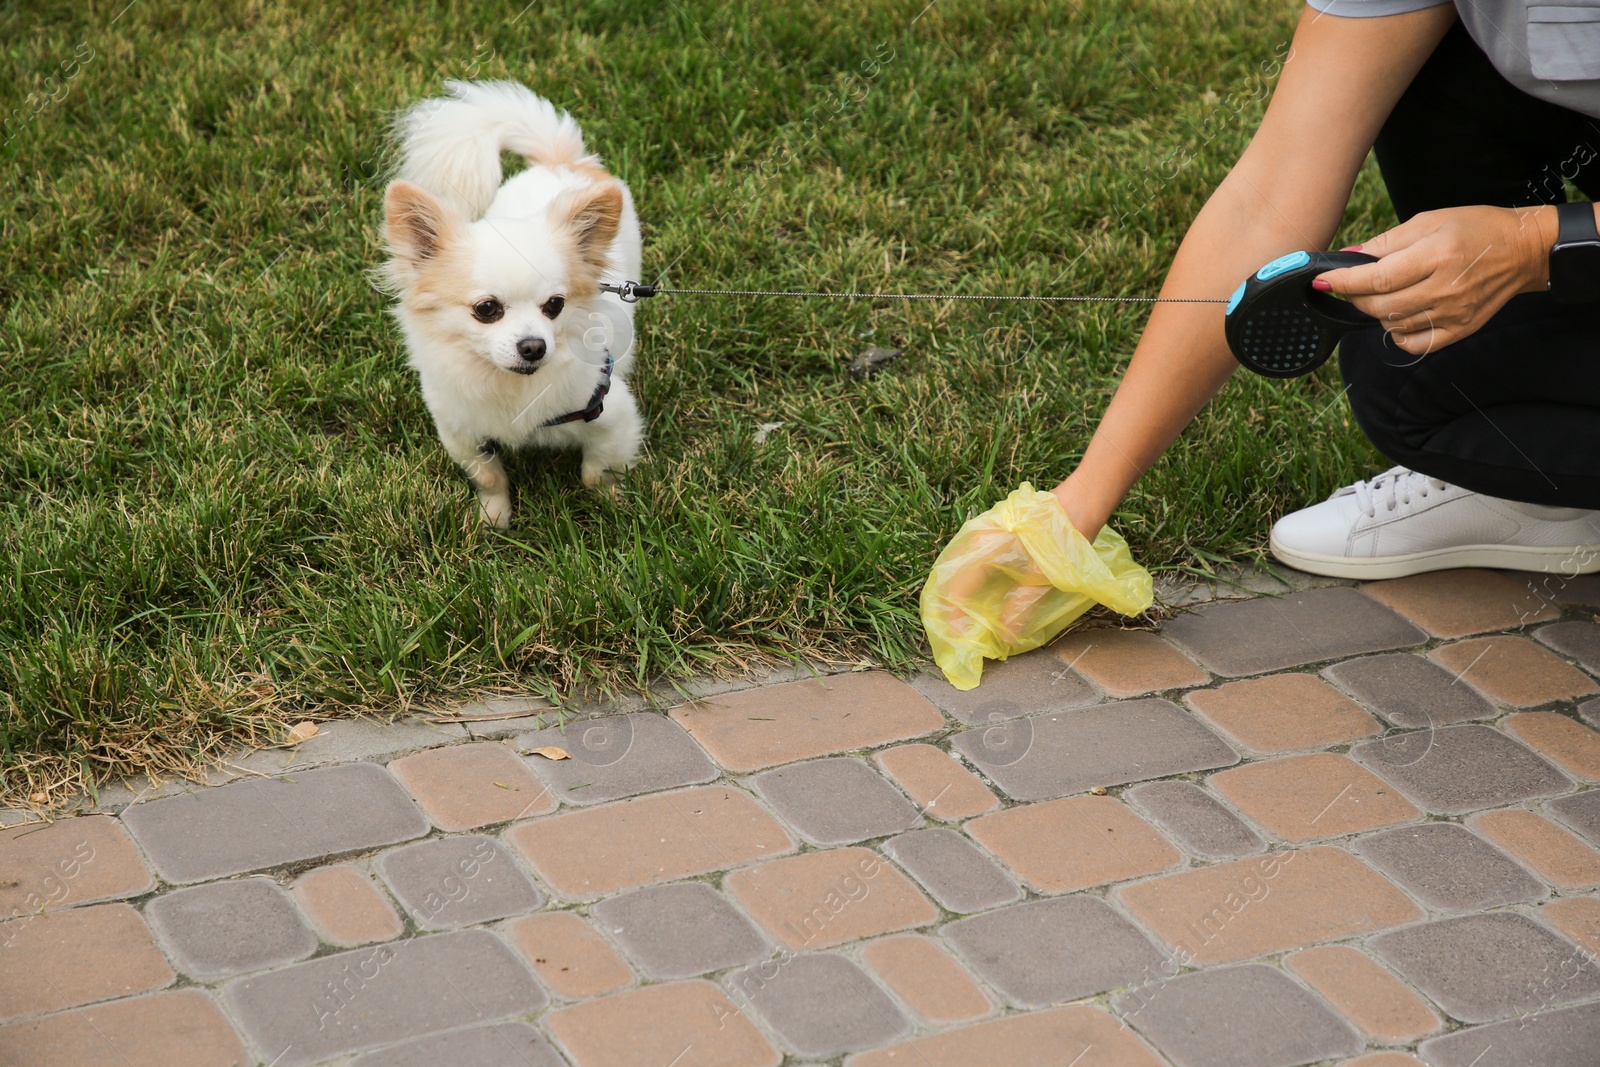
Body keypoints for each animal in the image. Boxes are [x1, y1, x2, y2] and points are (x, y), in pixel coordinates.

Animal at [380, 80, 643, 524]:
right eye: (487, 309)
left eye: (555, 305)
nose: (534, 346)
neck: (508, 387)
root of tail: (560, 160)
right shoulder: (460, 432)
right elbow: (490, 477)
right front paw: (494, 518)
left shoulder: (613, 415)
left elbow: (596, 470)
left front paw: (612, 503)